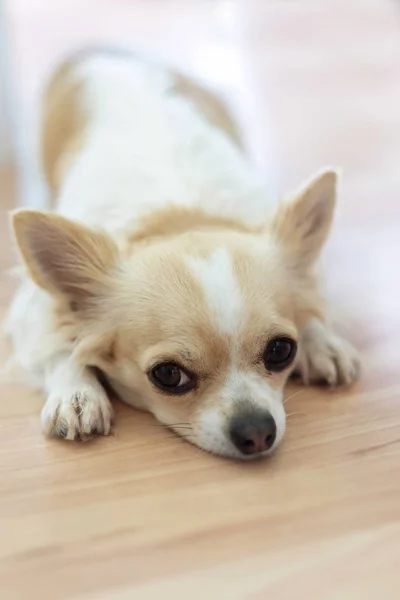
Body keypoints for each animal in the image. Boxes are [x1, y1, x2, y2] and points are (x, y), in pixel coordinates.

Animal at [4, 49, 360, 460]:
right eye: (169, 375)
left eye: (281, 350)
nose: (257, 432)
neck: (180, 216)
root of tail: (100, 49)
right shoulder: (32, 309)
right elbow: (59, 346)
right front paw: (76, 393)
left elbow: (311, 300)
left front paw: (322, 342)